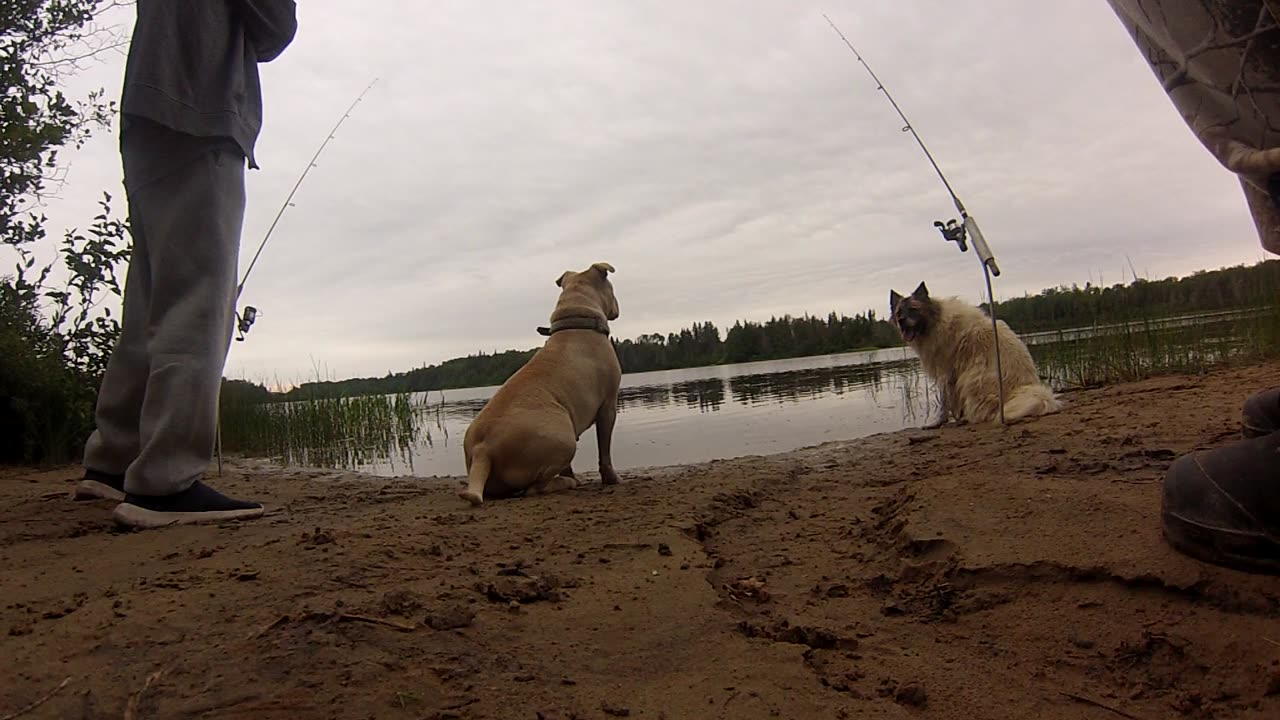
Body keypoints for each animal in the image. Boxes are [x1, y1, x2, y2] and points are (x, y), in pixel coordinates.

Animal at [460, 260, 619, 502]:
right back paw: (566, 482)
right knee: (535, 488)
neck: (576, 322)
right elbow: (605, 450)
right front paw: (612, 478)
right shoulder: (608, 407)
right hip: (563, 438)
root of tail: (482, 450)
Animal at [890, 280, 1059, 425]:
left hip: (972, 378)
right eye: (898, 312)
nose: (901, 321)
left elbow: (945, 402)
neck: (935, 321)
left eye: (913, 309)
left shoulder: (946, 374)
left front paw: (940, 421)